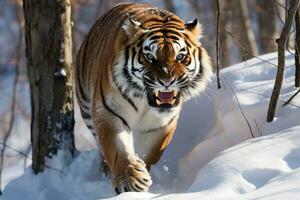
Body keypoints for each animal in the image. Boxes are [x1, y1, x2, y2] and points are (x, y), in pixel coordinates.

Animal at [75, 2, 211, 194]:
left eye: (180, 56)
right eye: (149, 57)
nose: (167, 81)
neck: (144, 103)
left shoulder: (159, 125)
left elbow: (147, 152)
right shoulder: (108, 112)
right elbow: (118, 149)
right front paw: (130, 180)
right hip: (86, 107)